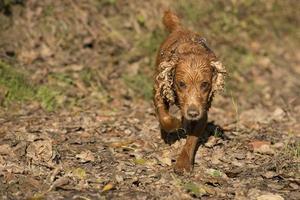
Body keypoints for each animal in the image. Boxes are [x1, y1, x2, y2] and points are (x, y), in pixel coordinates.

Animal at [154, 10, 226, 173]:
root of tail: (180, 28)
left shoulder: (202, 111)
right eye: (181, 84)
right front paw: (176, 123)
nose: (192, 113)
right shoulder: (159, 91)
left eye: (205, 84)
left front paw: (183, 163)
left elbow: (192, 139)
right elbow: (165, 118)